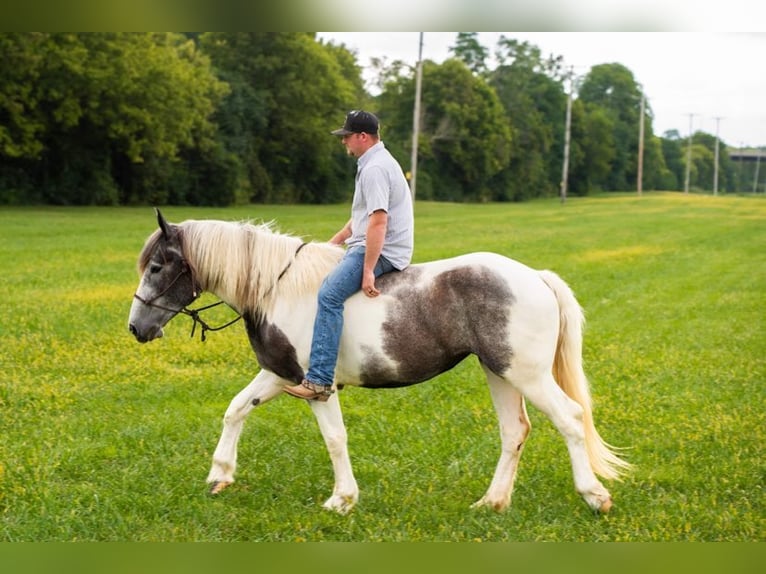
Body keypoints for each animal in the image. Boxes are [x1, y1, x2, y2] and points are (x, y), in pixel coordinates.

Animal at [127, 209, 632, 516]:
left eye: (157, 267)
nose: (136, 327)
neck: (278, 288)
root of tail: (536, 277)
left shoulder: (316, 386)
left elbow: (334, 439)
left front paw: (342, 500)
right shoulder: (278, 374)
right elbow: (235, 410)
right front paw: (220, 475)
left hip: (526, 375)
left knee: (570, 418)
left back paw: (594, 496)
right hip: (500, 372)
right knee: (515, 432)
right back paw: (492, 502)